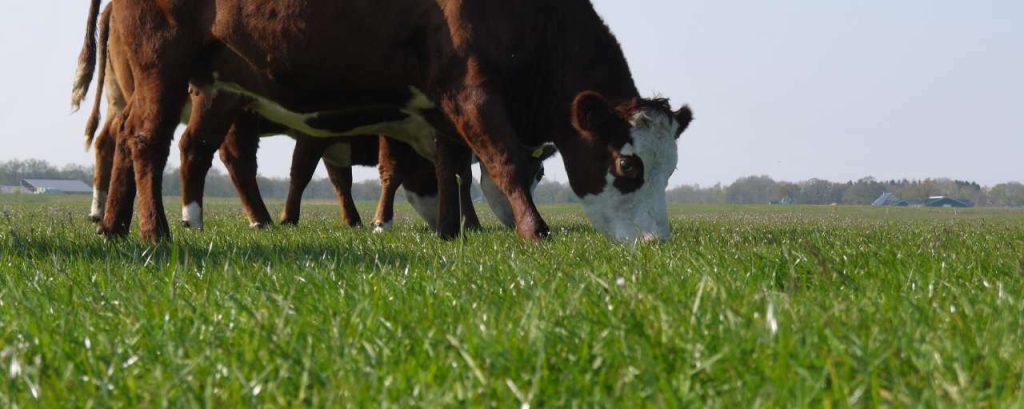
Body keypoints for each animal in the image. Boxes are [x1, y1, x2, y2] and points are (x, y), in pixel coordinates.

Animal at [77, 0, 693, 243]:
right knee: (153, 143)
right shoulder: (471, 88)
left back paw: (114, 224)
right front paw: (534, 228)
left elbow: (451, 167)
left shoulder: (440, 107)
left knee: (126, 141)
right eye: (629, 165)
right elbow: (503, 159)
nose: (657, 241)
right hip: (167, 75)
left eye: (669, 170)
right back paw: (158, 228)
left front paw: (450, 229)